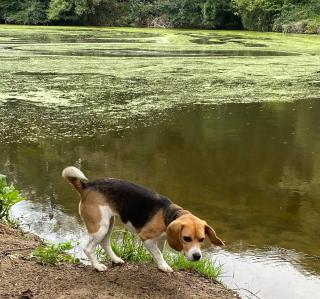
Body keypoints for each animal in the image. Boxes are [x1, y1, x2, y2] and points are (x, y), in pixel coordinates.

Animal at [62, 168, 222, 274]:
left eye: (202, 239)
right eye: (186, 238)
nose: (197, 256)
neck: (170, 214)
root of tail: (87, 186)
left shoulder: (162, 238)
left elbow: (160, 252)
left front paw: (159, 264)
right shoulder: (147, 238)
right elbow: (158, 253)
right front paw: (164, 266)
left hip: (108, 224)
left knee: (105, 243)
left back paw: (115, 259)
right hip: (100, 226)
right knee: (89, 249)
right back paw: (97, 266)